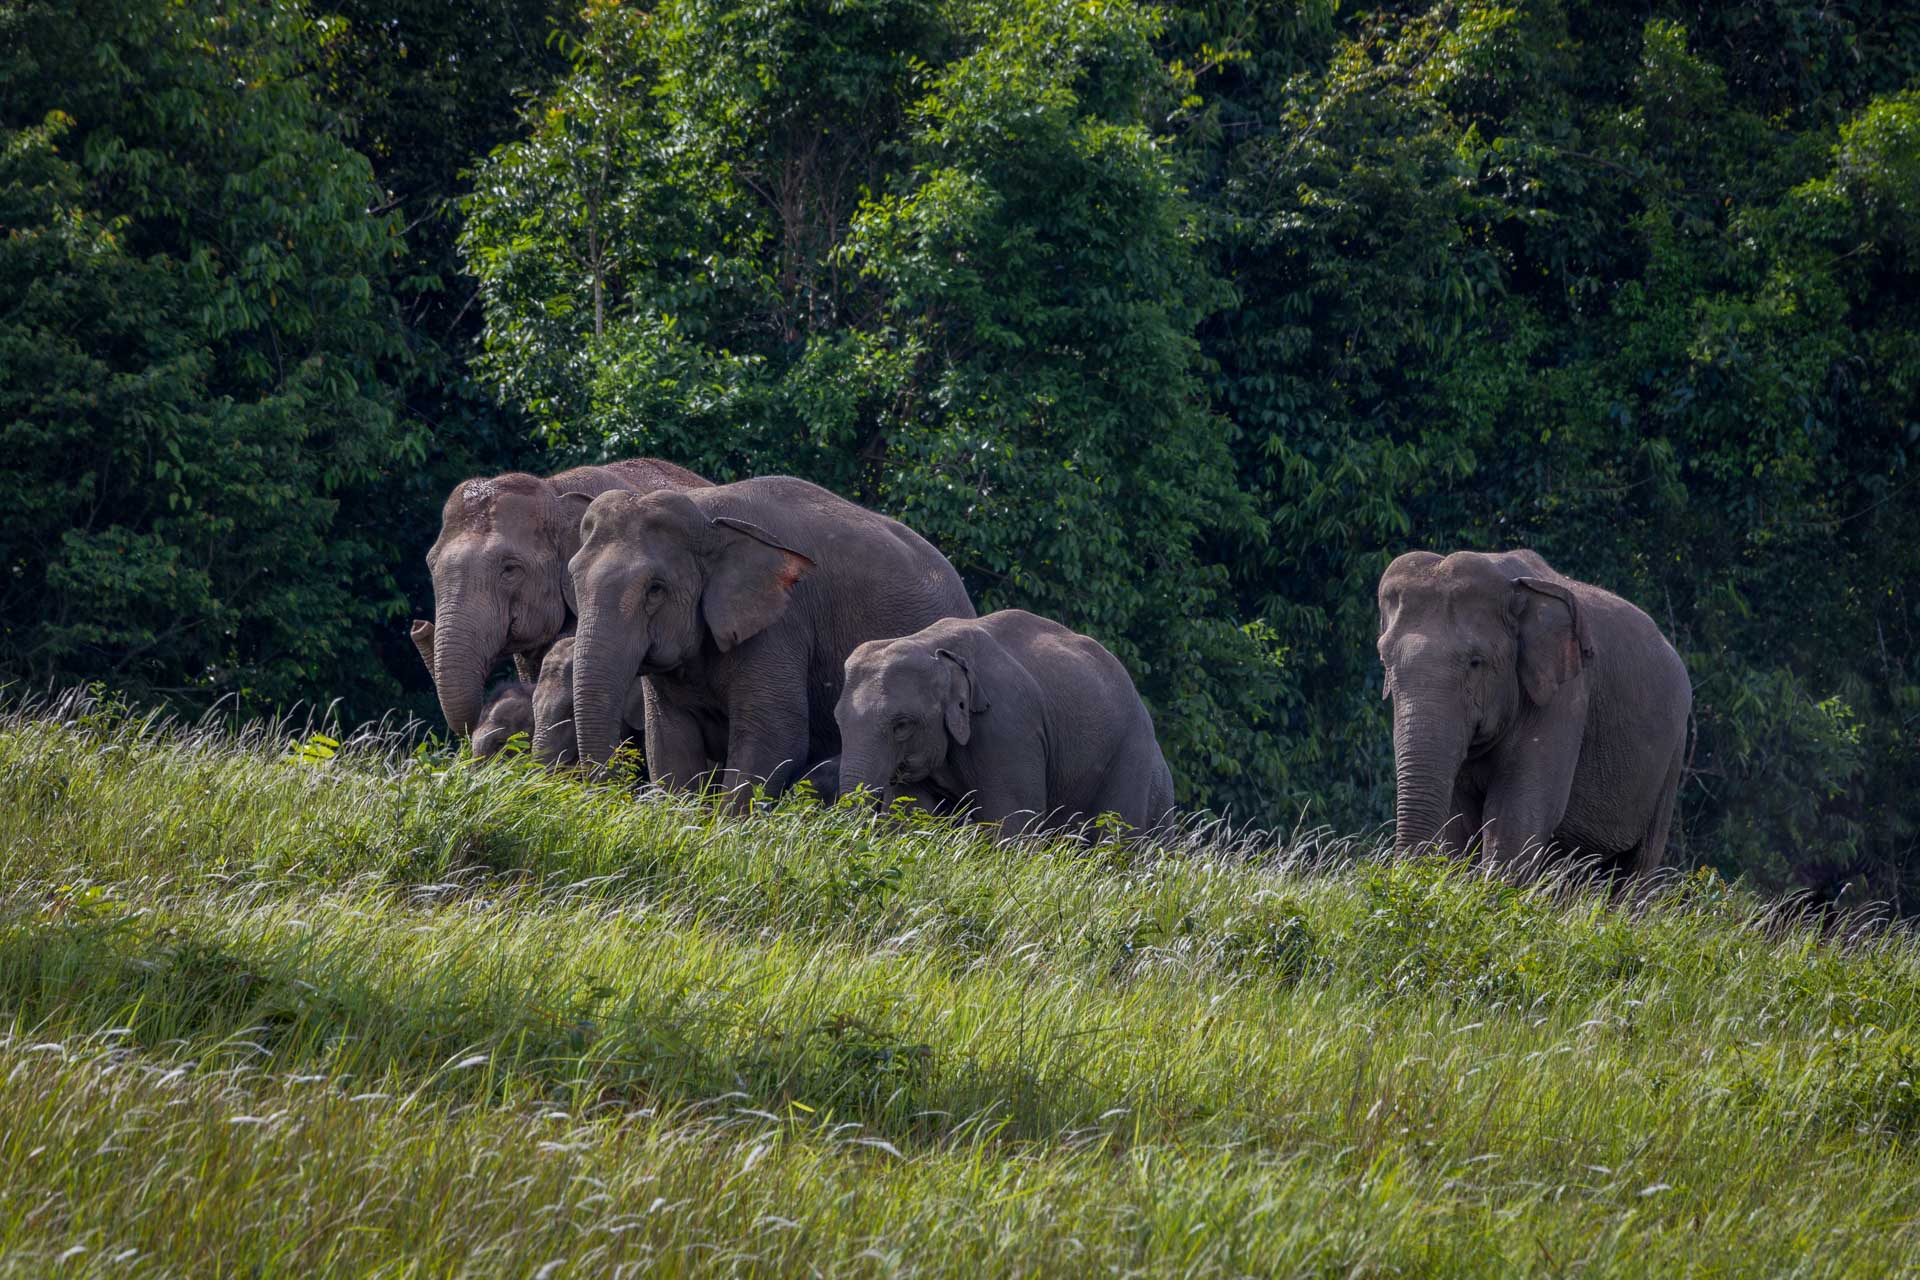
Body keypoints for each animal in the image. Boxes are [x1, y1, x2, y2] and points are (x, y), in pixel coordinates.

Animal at [564, 475, 976, 805]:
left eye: (655, 589)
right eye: (572, 577)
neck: (708, 515)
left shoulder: (783, 624)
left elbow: (774, 735)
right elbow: (669, 739)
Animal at [834, 609, 1175, 837]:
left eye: (902, 725)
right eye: (838, 722)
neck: (931, 645)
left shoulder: (1007, 728)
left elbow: (1011, 822)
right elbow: (910, 814)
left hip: (1130, 754)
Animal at [1376, 548, 1691, 876]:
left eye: (1476, 662)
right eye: (1384, 660)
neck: (1515, 590)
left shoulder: (1565, 696)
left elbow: (1517, 814)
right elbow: (1457, 818)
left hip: (1672, 755)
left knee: (1638, 863)